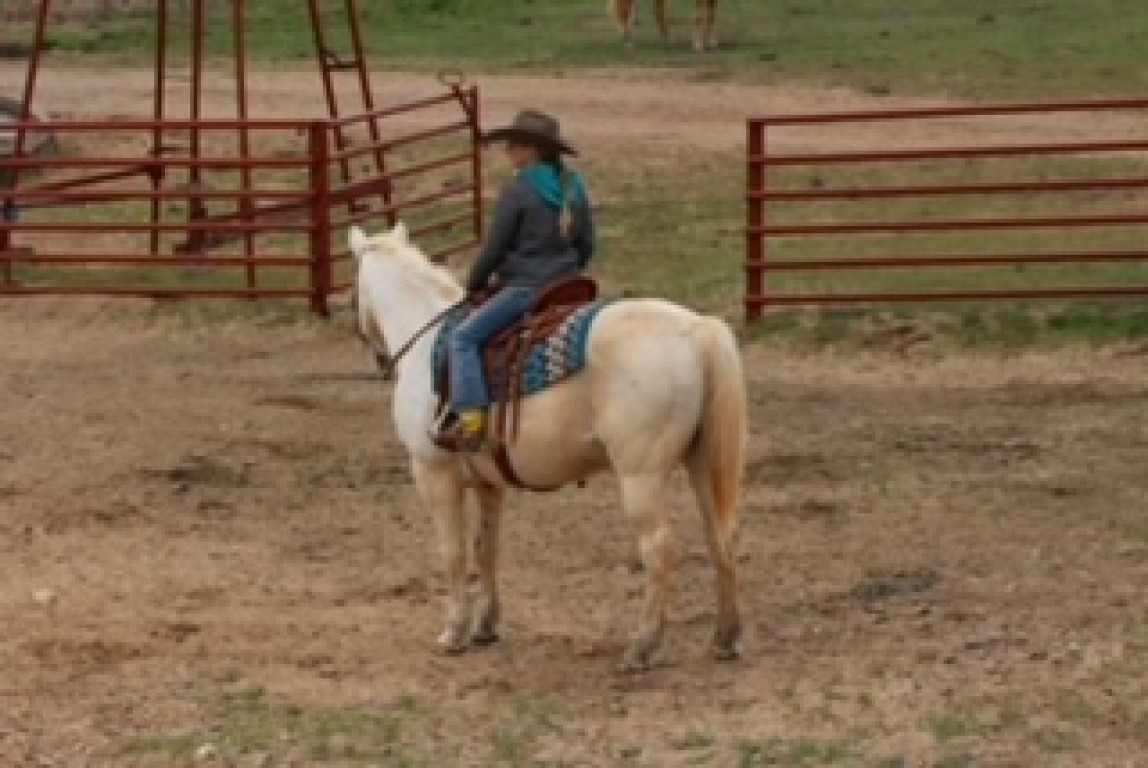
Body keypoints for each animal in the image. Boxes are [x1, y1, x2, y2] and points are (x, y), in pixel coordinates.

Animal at [349, 223, 747, 671]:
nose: (378, 358)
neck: (428, 342)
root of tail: (698, 330)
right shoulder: (488, 483)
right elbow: (486, 550)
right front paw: (486, 626)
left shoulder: (434, 472)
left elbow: (453, 552)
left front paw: (455, 632)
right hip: (703, 464)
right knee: (721, 538)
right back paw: (724, 638)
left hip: (640, 476)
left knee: (659, 551)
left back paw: (642, 646)